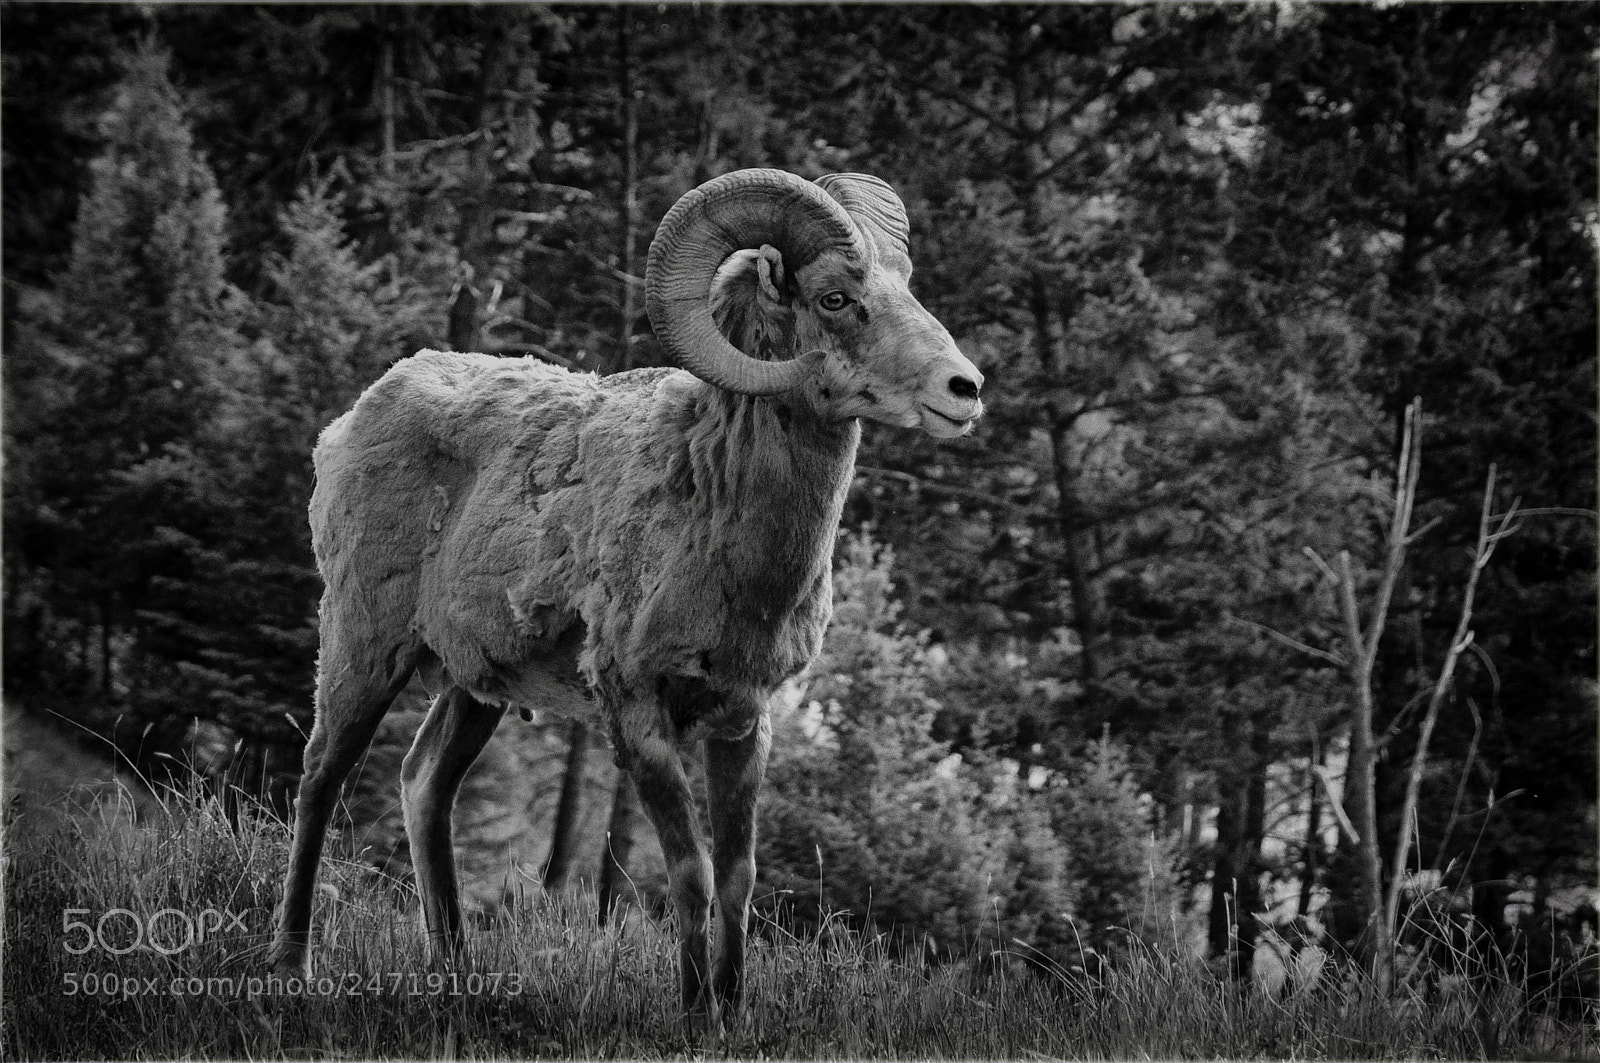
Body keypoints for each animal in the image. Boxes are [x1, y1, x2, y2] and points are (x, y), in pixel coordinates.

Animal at [268, 167, 984, 1025]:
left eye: (906, 285)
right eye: (836, 298)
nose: (965, 389)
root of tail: (350, 423)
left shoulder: (745, 718)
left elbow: (737, 878)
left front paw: (730, 1015)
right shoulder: (637, 711)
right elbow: (690, 873)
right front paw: (693, 1013)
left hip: (476, 688)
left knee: (423, 783)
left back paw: (456, 976)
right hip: (364, 646)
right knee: (320, 777)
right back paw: (292, 968)